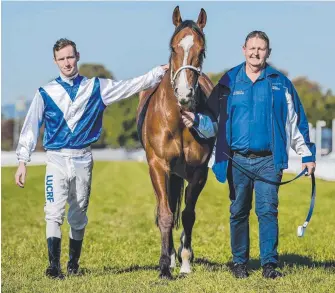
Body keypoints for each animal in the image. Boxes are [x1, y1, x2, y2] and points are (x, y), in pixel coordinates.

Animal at [137, 5, 214, 278]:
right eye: (173, 48)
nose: (184, 95)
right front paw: (164, 266)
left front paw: (186, 262)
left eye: (202, 51)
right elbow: (165, 214)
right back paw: (169, 257)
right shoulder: (159, 165)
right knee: (168, 206)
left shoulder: (198, 171)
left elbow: (188, 214)